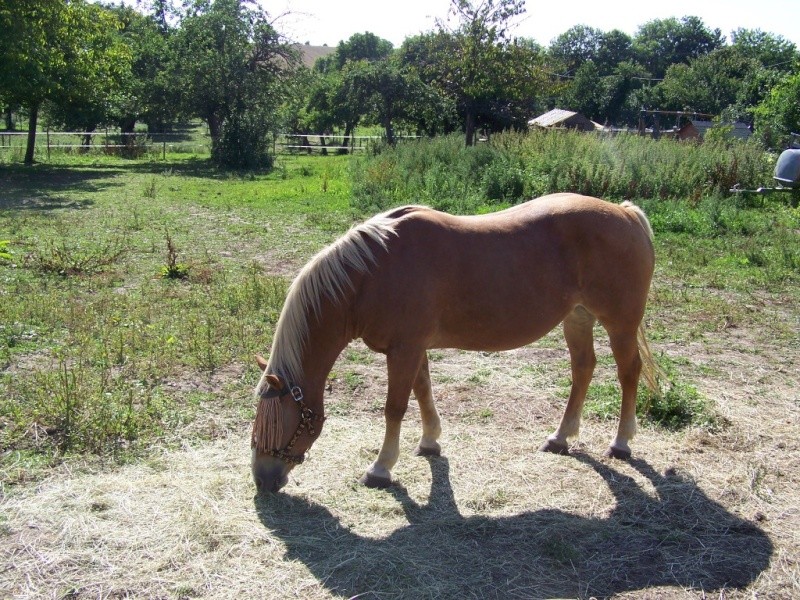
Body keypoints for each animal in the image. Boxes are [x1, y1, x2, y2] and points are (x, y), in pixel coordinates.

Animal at [253, 195, 660, 494]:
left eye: (277, 421)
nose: (262, 479)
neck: (371, 274)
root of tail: (626, 214)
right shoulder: (413, 349)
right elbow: (423, 391)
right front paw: (430, 442)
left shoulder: (403, 350)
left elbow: (395, 408)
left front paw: (381, 468)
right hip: (577, 318)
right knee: (583, 369)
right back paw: (560, 438)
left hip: (620, 325)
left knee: (628, 373)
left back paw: (621, 443)